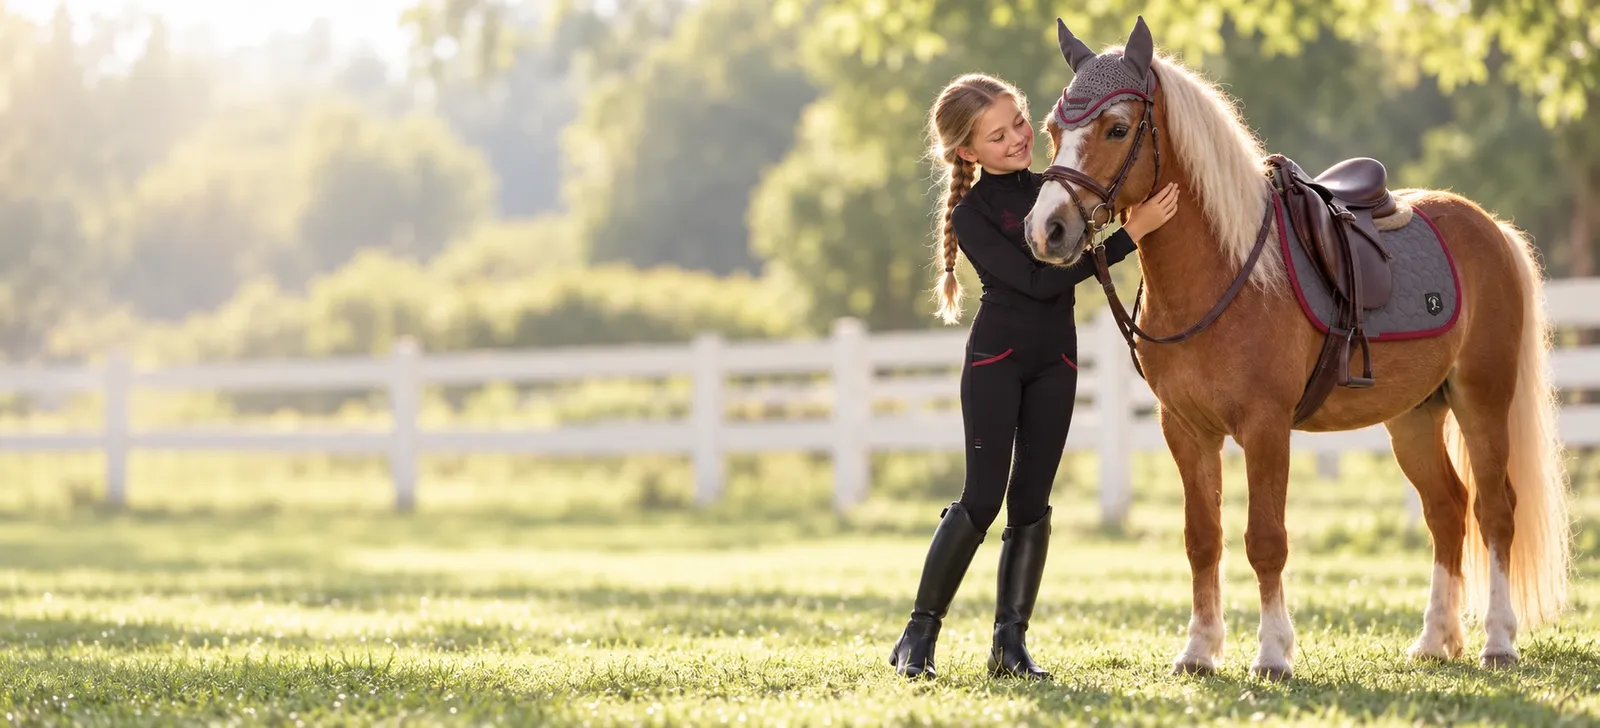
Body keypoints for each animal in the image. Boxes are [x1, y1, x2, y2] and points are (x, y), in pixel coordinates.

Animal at [1023, 16, 1571, 680]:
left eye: (1118, 128)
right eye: (1053, 130)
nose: (1047, 231)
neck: (1224, 271)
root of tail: (1490, 227)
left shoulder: (1266, 427)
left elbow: (1266, 539)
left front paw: (1272, 653)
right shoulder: (1185, 429)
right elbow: (1201, 537)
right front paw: (1199, 651)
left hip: (1481, 400)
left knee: (1494, 509)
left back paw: (1497, 640)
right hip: (1414, 415)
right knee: (1447, 508)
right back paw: (1435, 639)